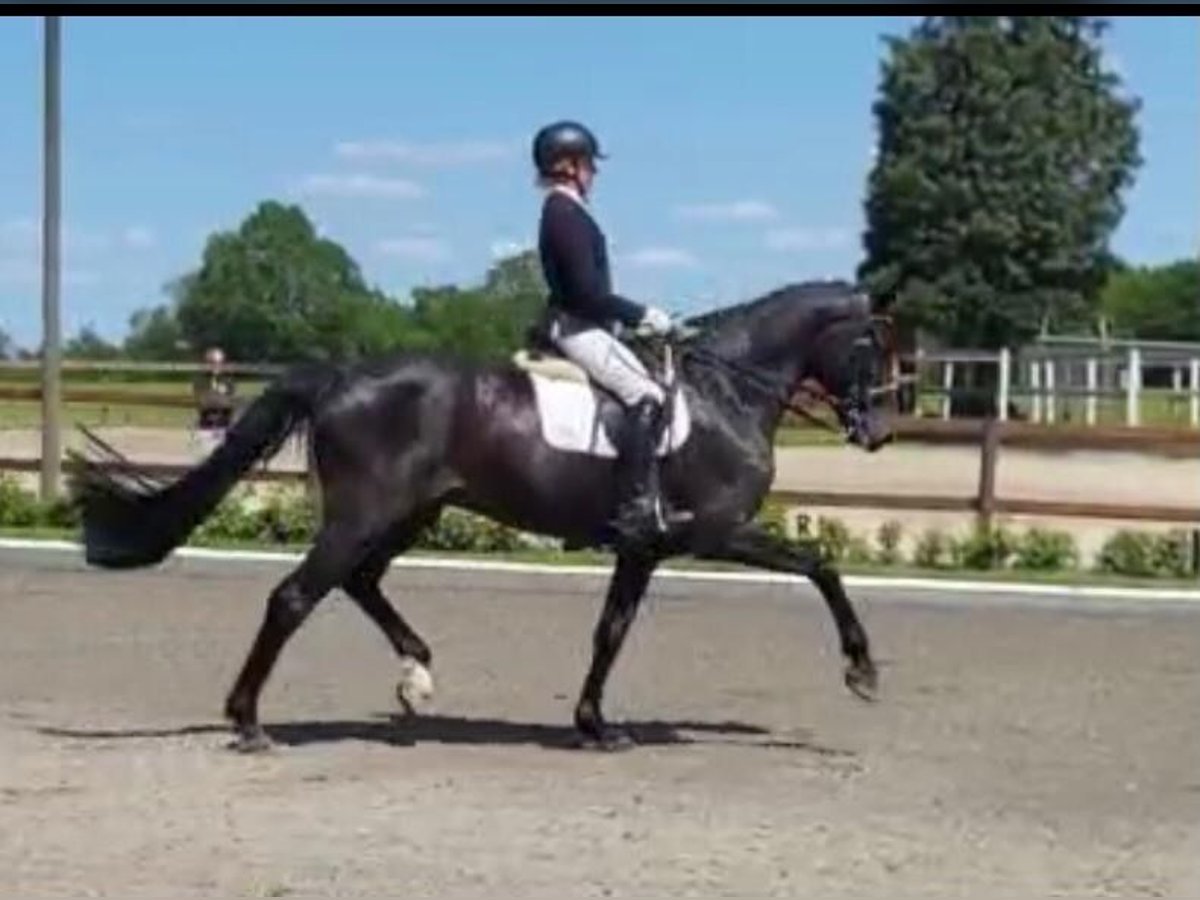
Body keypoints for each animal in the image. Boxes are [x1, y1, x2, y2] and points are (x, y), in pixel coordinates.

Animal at [65, 277, 892, 753]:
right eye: (874, 349)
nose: (880, 431)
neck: (726, 395)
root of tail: (339, 376)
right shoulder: (715, 530)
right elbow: (822, 566)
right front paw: (862, 670)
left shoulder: (644, 547)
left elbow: (611, 631)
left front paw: (595, 726)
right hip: (366, 512)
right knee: (295, 596)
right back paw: (249, 722)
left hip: (411, 512)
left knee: (360, 581)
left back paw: (417, 677)